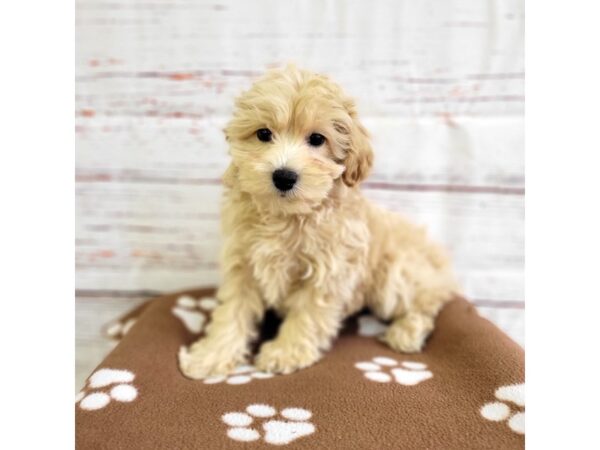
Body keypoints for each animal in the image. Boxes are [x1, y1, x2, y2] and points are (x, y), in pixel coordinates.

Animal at [179, 64, 460, 380]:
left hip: (396, 275)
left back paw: (406, 332)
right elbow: (232, 311)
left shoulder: (329, 270)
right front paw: (212, 355)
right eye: (263, 134)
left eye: (316, 139)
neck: (286, 216)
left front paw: (285, 352)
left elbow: (308, 313)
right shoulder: (242, 264)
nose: (284, 176)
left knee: (428, 300)